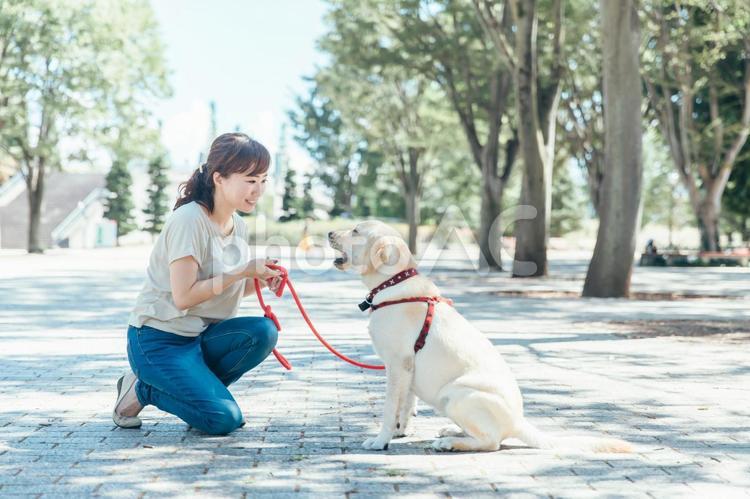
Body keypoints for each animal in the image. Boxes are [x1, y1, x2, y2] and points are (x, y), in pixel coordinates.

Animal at [328, 221, 636, 456]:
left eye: (356, 230)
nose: (329, 232)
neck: (393, 285)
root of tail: (518, 422)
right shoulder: (407, 369)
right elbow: (405, 405)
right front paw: (400, 431)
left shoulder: (397, 365)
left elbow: (390, 407)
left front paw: (381, 440)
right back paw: (452, 432)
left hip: (457, 395)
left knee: (492, 443)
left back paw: (450, 442)